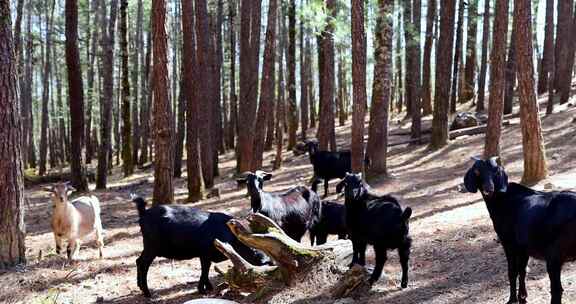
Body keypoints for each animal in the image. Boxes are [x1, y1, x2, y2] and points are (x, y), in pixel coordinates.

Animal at [130, 196, 268, 296]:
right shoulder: (205, 254)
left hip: (148, 247)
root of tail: (143, 213)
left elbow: (206, 270)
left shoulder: (206, 256)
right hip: (151, 247)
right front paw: (203, 290)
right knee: (143, 264)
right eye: (264, 262)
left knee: (138, 261)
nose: (265, 260)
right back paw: (147, 293)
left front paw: (209, 287)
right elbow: (204, 270)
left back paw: (140, 287)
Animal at [466, 157, 576, 304]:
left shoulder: (508, 243)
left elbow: (512, 271)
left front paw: (512, 299)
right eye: (477, 171)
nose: (489, 189)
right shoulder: (523, 247)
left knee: (557, 290)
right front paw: (523, 297)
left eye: (495, 171)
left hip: (554, 255)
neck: (504, 199)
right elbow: (522, 270)